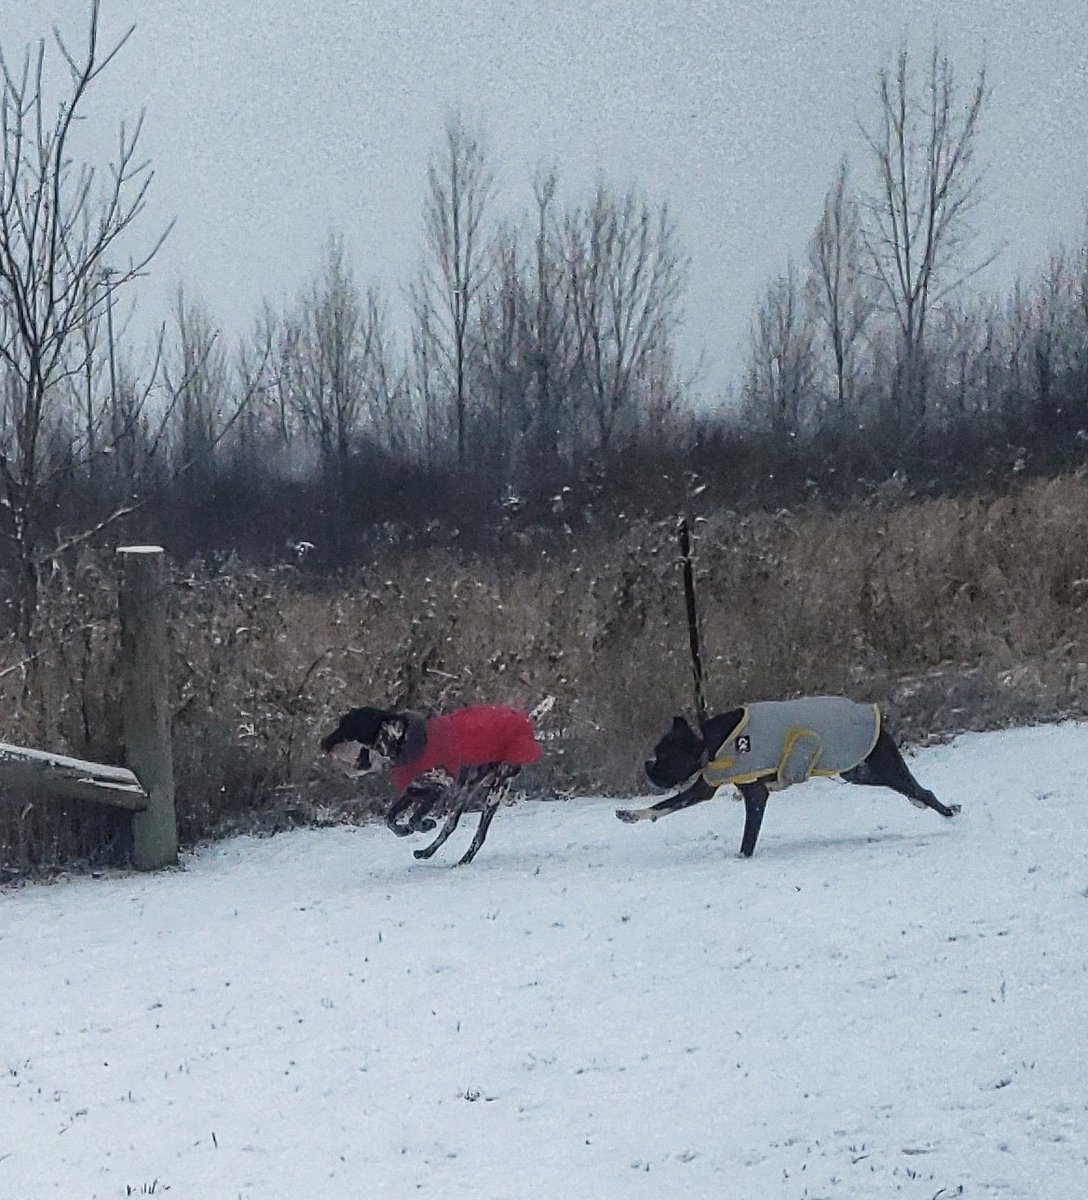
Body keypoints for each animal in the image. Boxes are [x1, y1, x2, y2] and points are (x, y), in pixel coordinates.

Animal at [321, 700, 544, 864]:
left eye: (349, 724)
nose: (324, 742)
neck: (404, 742)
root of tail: (526, 723)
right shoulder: (413, 790)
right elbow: (389, 819)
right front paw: (403, 830)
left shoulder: (440, 787)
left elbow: (414, 818)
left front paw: (423, 825)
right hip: (466, 791)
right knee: (450, 826)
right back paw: (427, 852)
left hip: (495, 792)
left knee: (479, 835)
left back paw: (462, 861)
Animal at [618, 700, 959, 859]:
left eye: (663, 756)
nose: (647, 767)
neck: (710, 742)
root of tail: (874, 715)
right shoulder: (704, 787)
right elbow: (664, 806)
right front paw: (632, 814)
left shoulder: (755, 795)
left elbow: (748, 836)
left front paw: (741, 858)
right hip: (857, 771)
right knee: (912, 790)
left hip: (880, 766)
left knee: (923, 790)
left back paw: (946, 812)